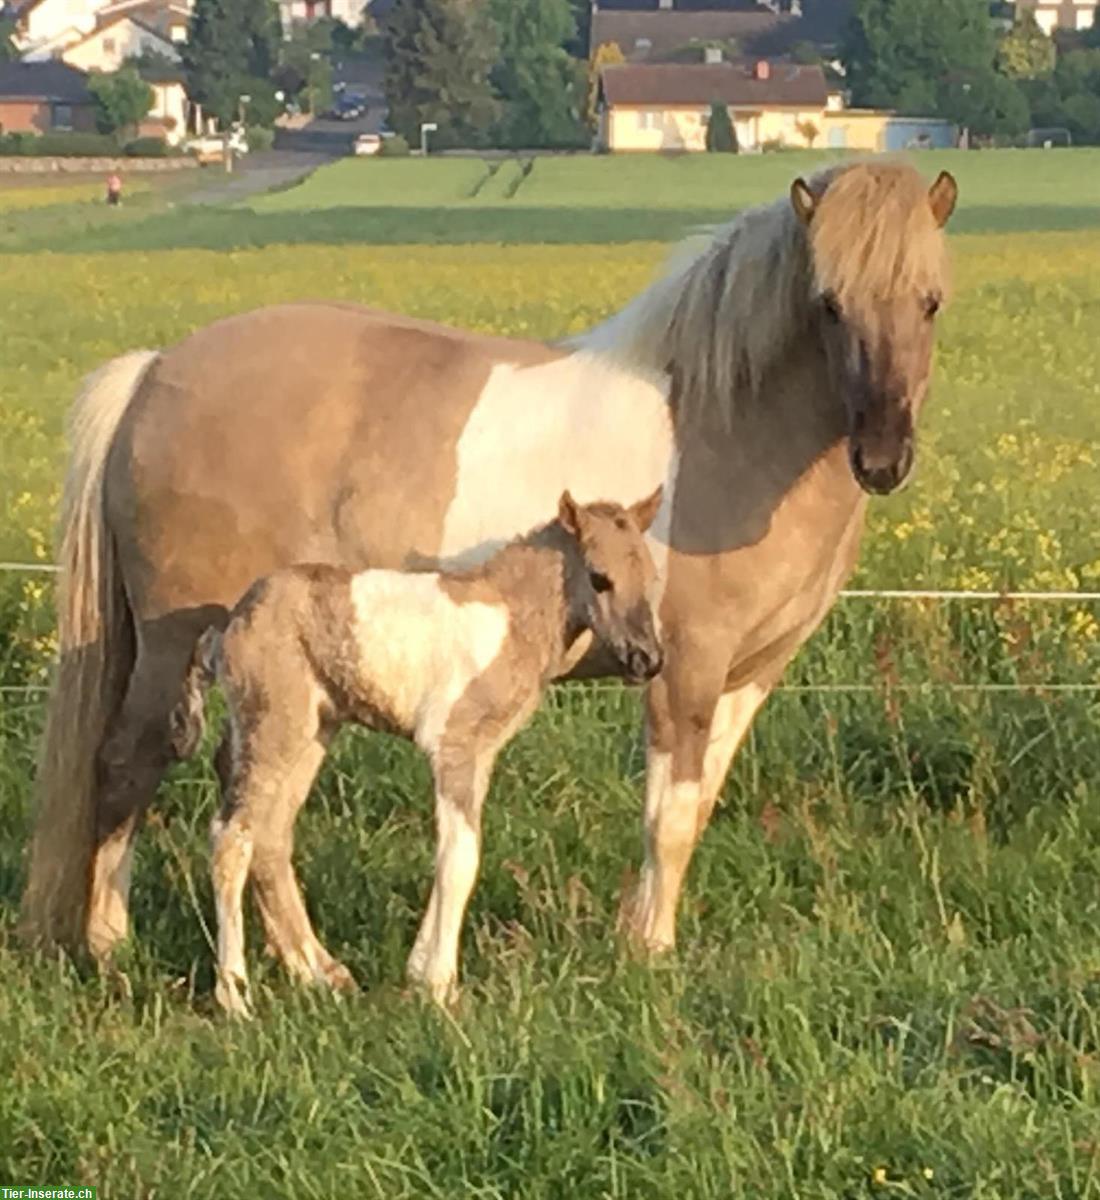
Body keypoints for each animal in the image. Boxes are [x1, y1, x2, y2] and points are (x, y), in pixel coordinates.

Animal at [176, 487, 666, 1012]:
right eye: (599, 578)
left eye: (650, 577)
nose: (648, 659)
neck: (513, 617)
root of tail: (229, 628)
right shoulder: (454, 746)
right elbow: (461, 859)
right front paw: (440, 987)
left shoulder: (481, 755)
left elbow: (457, 849)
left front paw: (417, 973)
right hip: (273, 727)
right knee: (231, 837)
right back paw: (235, 996)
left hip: (310, 733)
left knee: (271, 834)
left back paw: (317, 974)